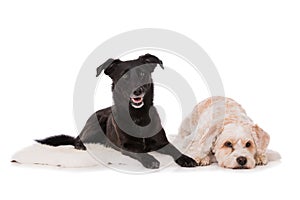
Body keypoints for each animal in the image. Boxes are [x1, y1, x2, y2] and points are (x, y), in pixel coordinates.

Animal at [37, 53, 197, 169]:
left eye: (142, 74)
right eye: (124, 76)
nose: (137, 91)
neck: (138, 116)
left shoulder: (162, 142)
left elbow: (175, 150)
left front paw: (186, 158)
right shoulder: (126, 147)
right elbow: (139, 152)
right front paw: (150, 159)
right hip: (95, 126)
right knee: (77, 139)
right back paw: (81, 146)